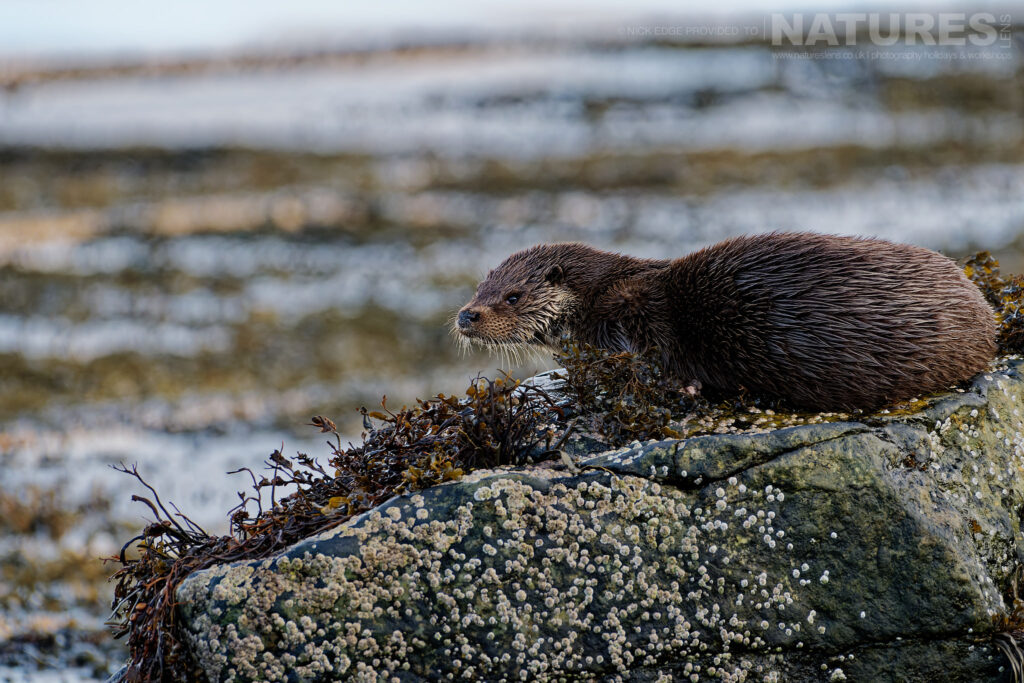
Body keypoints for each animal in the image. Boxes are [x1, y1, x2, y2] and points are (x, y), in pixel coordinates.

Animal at [452, 232, 995, 411]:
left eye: (512, 296)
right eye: (480, 287)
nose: (466, 314)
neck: (596, 298)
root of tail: (986, 315)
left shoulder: (630, 319)